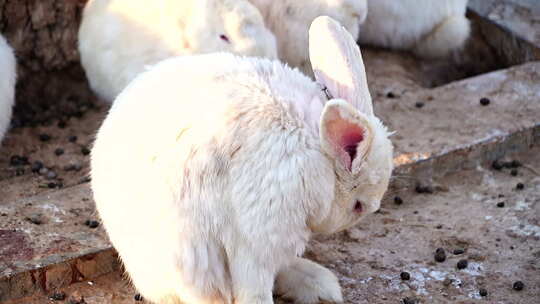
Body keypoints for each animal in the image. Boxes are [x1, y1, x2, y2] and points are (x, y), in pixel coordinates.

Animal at [92, 16, 392, 304]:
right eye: (357, 206)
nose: (346, 223)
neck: (320, 152)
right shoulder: (261, 231)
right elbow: (253, 286)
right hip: (193, 257)